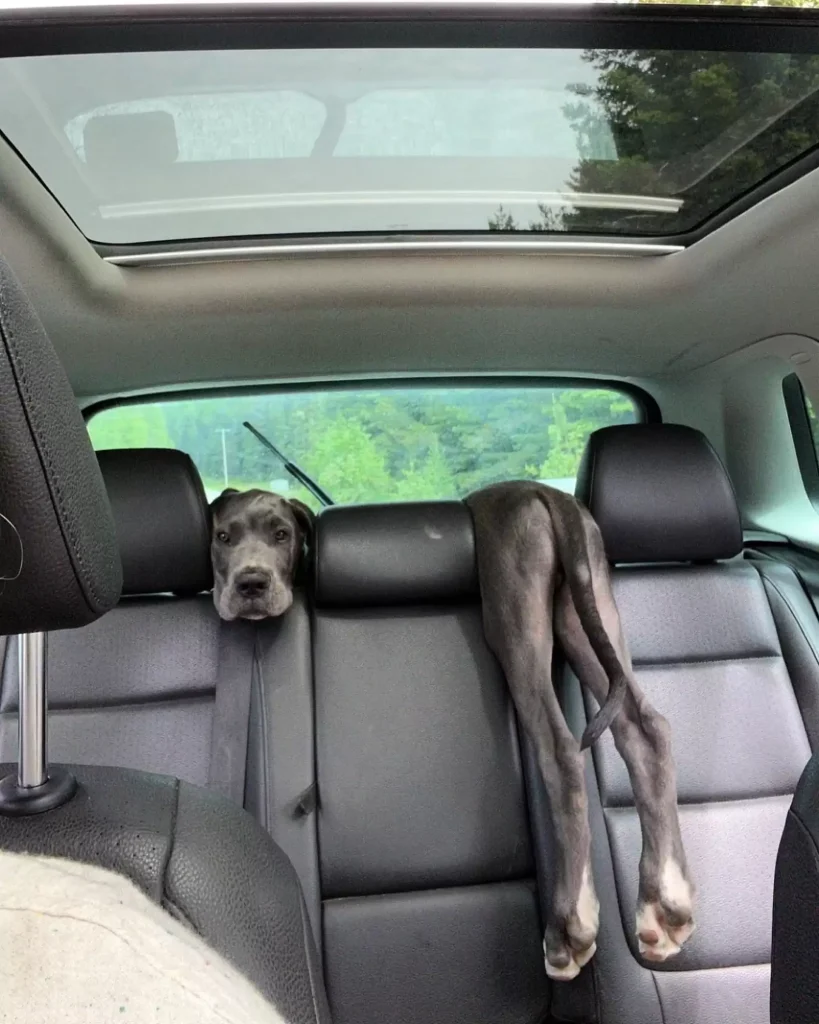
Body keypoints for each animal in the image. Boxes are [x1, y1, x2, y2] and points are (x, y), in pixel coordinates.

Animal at [464, 483, 696, 978]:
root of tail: (549, 496)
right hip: (589, 606)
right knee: (646, 729)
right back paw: (665, 900)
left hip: (516, 608)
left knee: (560, 749)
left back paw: (569, 925)